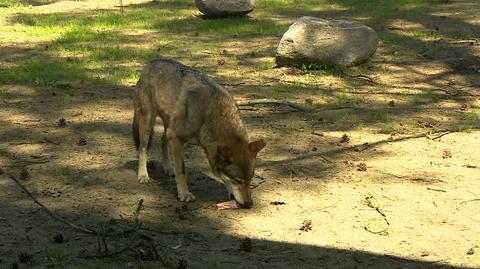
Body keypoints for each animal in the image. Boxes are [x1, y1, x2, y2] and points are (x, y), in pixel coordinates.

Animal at [132, 57, 266, 207]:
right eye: (238, 180)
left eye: (250, 178)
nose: (249, 204)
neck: (209, 114)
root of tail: (152, 62)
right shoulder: (177, 139)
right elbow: (182, 171)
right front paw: (184, 194)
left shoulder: (175, 136)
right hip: (148, 123)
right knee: (143, 148)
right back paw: (143, 175)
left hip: (168, 126)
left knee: (162, 142)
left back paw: (168, 168)